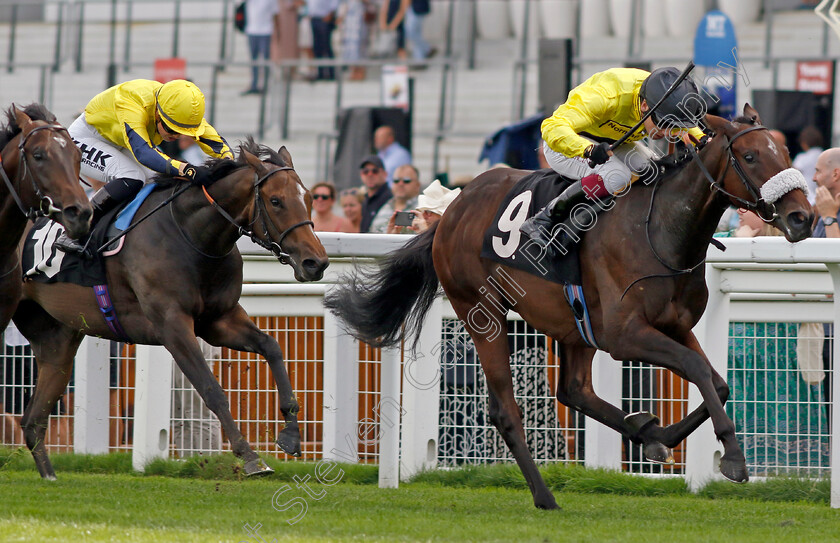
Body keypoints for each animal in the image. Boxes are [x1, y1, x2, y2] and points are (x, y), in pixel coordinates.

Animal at [13, 140, 328, 480]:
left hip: (57, 341)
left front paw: (291, 435)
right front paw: (250, 457)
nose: (316, 263)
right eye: (276, 201)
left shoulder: (219, 321)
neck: (190, 235)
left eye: (309, 198)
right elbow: (211, 389)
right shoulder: (172, 326)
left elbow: (272, 347)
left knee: (33, 420)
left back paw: (49, 475)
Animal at [326, 106, 812, 510]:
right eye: (750, 156)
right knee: (507, 410)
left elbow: (717, 382)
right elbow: (696, 370)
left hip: (573, 325)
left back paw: (642, 433)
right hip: (482, 313)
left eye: (787, 151)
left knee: (574, 391)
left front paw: (658, 436)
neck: (660, 228)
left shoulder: (673, 324)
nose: (802, 217)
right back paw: (544, 496)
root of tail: (450, 212)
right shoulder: (625, 335)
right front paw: (732, 458)